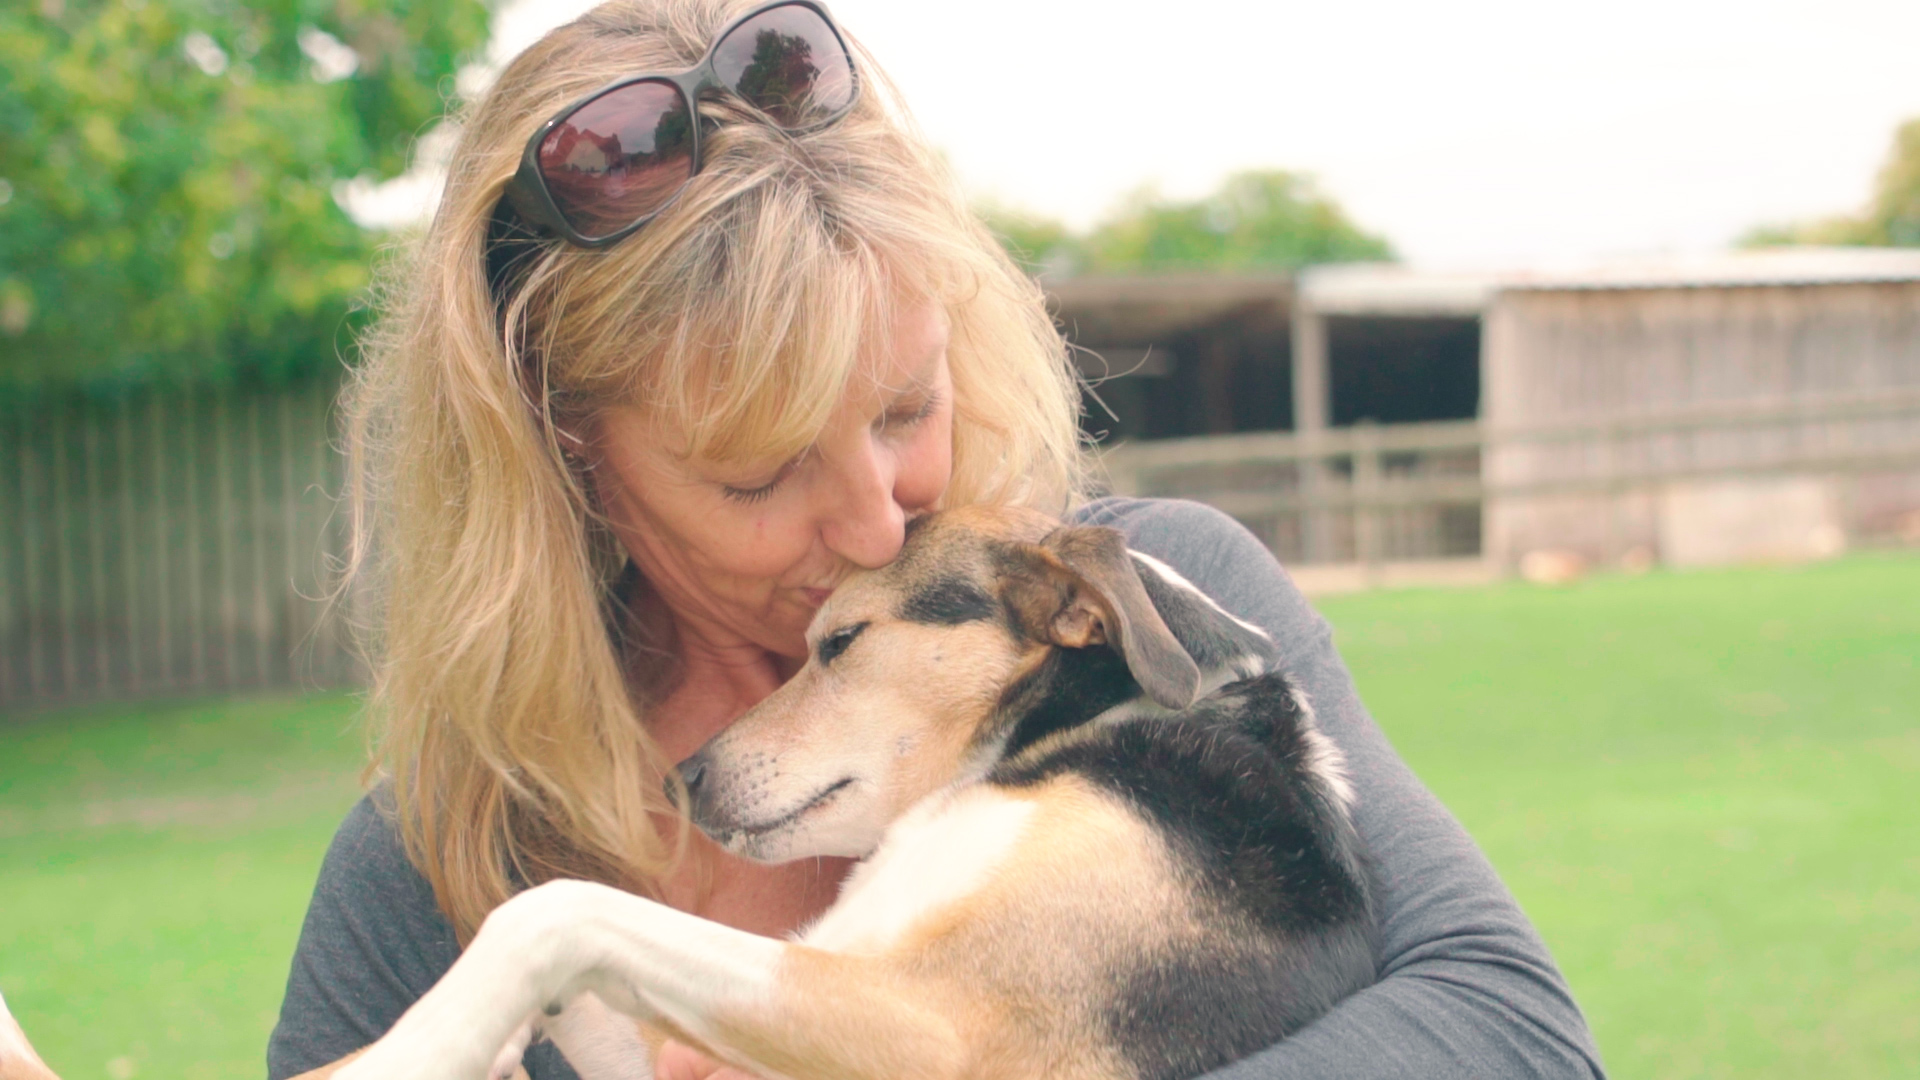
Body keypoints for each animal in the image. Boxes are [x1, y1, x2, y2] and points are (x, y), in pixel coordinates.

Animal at [0, 503, 1382, 1076]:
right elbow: (565, 970)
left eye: (838, 643)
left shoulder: (931, 1027)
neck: (1086, 730)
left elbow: (557, 911)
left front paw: (414, 1049)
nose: (685, 774)